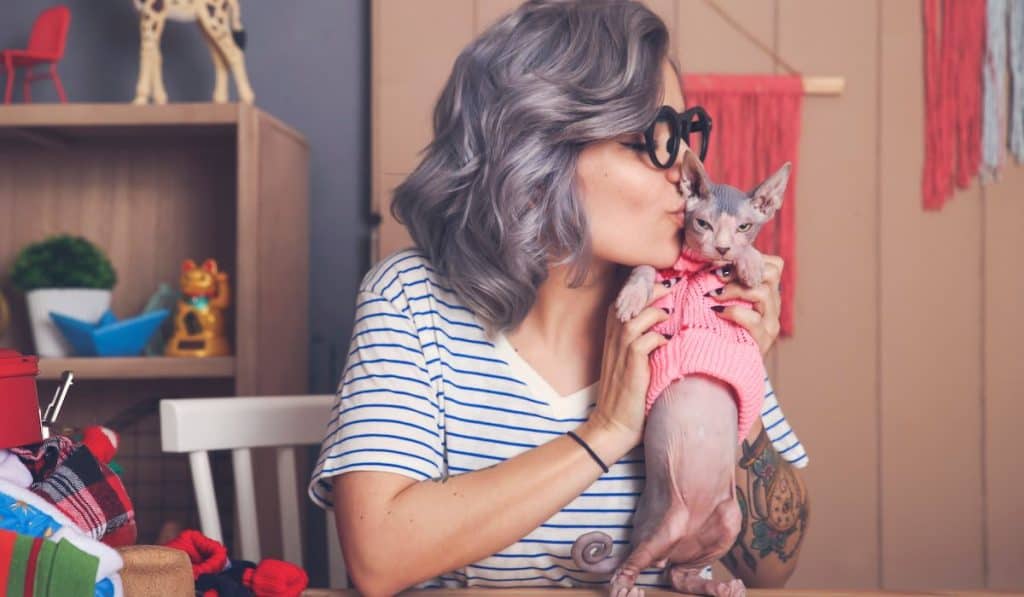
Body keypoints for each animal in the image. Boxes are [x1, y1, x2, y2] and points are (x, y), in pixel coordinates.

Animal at [573, 150, 786, 597]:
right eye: (702, 223)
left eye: (745, 226)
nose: (722, 246)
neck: (695, 269)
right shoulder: (655, 266)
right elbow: (642, 268)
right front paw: (631, 297)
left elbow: (752, 262)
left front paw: (749, 263)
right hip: (663, 523)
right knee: (640, 562)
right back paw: (624, 585)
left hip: (728, 520)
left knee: (679, 574)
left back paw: (719, 587)